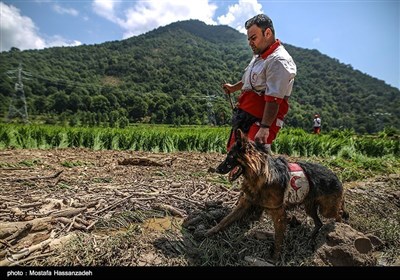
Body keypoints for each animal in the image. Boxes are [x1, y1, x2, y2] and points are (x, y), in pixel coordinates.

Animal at [206, 129, 346, 260]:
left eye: (230, 157)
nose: (217, 169)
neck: (260, 175)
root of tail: (336, 176)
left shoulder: (279, 214)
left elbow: (278, 238)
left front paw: (275, 257)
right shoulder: (245, 204)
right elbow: (225, 220)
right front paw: (210, 232)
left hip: (326, 210)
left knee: (338, 213)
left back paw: (340, 227)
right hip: (310, 207)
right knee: (319, 223)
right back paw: (311, 237)